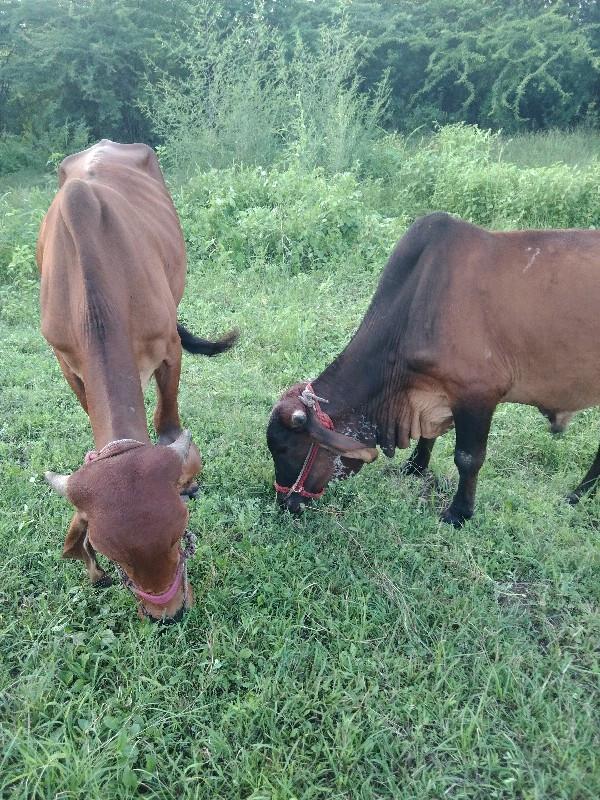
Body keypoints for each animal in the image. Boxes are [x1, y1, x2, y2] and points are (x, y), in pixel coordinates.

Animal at [37, 141, 237, 620]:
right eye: (112, 555)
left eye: (179, 533)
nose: (169, 614)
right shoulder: (66, 363)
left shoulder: (169, 349)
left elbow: (169, 427)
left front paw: (189, 477)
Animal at [268, 212, 600, 524]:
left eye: (284, 449)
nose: (285, 504)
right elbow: (429, 437)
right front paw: (414, 467)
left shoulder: (478, 393)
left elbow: (468, 458)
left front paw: (459, 513)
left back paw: (576, 494)